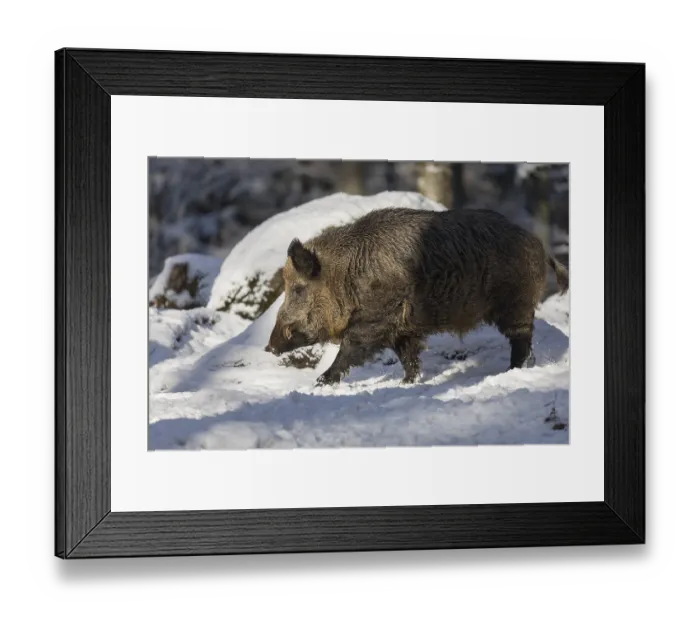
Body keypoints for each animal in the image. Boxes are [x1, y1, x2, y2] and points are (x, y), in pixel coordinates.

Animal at [265, 207, 569, 386]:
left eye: (298, 289)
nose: (268, 347)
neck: (345, 278)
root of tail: (538, 244)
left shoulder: (376, 319)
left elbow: (350, 348)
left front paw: (320, 382)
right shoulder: (402, 328)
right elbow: (408, 357)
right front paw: (408, 383)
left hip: (515, 303)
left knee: (521, 337)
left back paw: (511, 370)